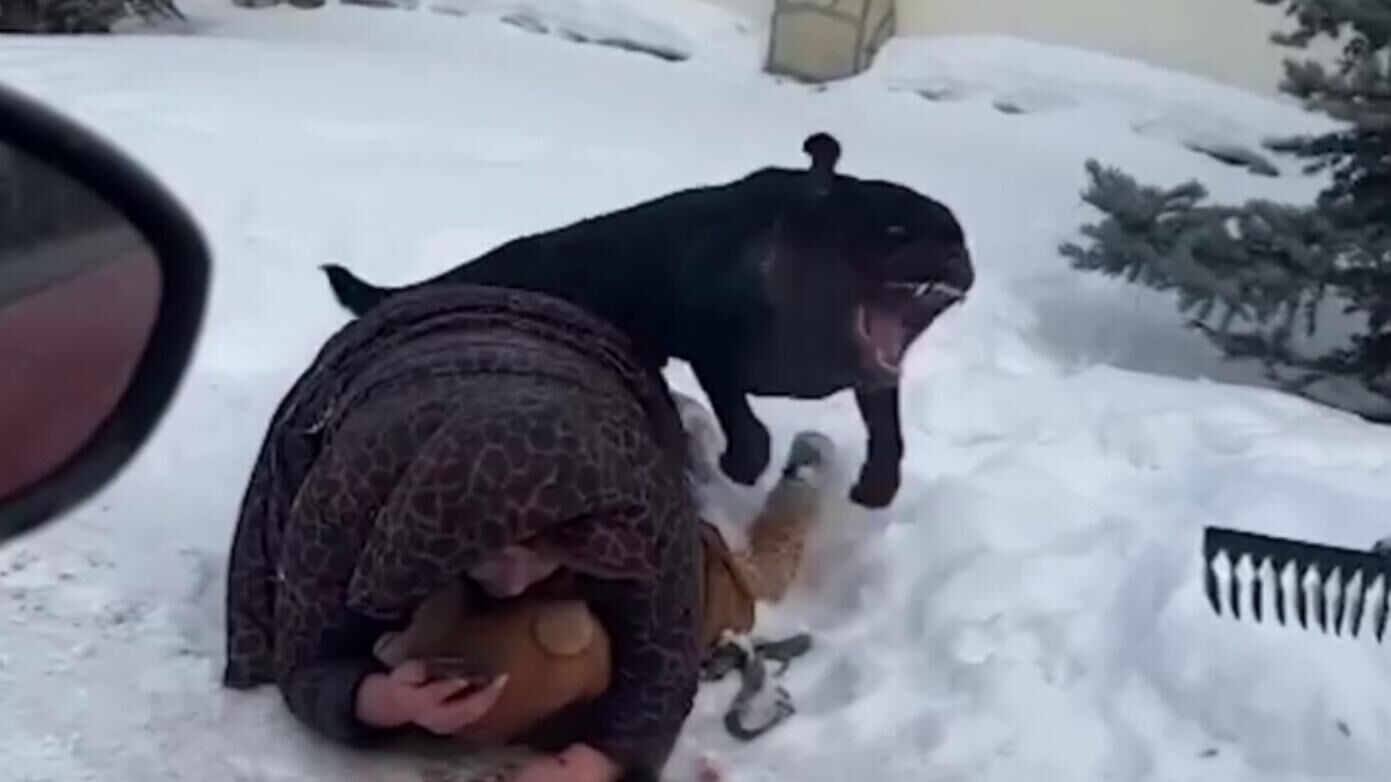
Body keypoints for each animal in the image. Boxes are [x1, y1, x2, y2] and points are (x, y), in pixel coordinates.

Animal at [320, 133, 973, 508]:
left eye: (960, 236)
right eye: (892, 230)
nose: (952, 259)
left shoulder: (874, 378)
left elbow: (888, 429)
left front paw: (877, 486)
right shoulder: (711, 348)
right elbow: (746, 424)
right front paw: (740, 466)